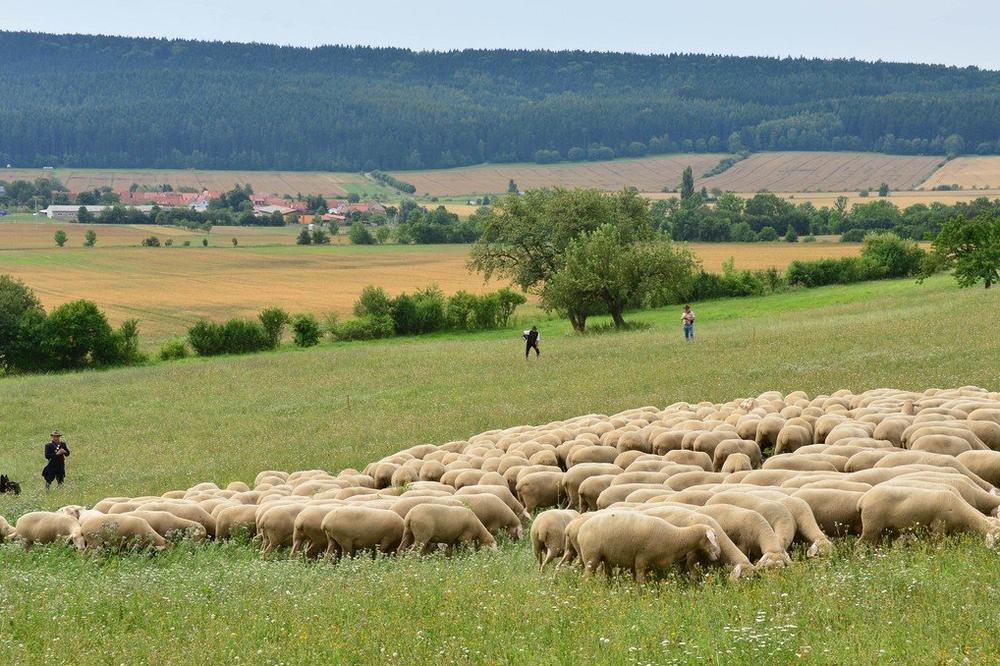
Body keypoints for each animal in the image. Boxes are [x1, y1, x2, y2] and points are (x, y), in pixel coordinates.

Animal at [576, 508, 724, 580]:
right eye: (715, 537)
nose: (719, 554)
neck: (675, 537)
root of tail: (581, 530)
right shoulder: (641, 559)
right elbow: (640, 581)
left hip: (605, 558)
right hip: (591, 556)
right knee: (585, 577)